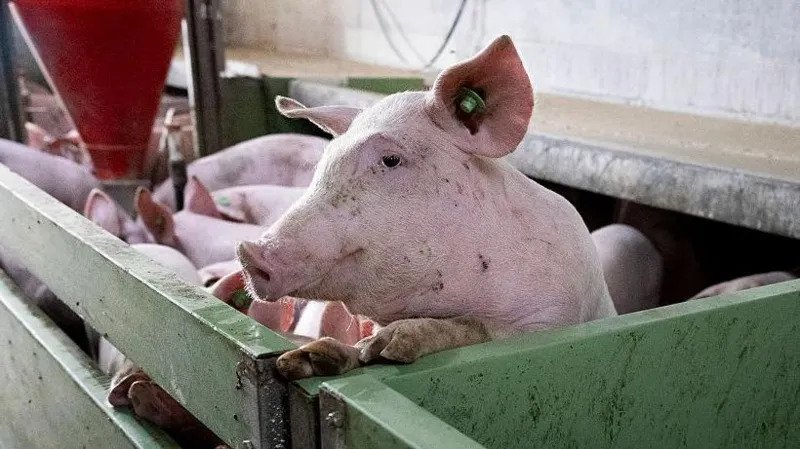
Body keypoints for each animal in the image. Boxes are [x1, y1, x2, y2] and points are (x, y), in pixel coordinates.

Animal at [236, 36, 617, 380]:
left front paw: (387, 346)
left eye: (391, 160)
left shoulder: (552, 317)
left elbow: (478, 329)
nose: (248, 251)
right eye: (325, 159)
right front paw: (302, 360)